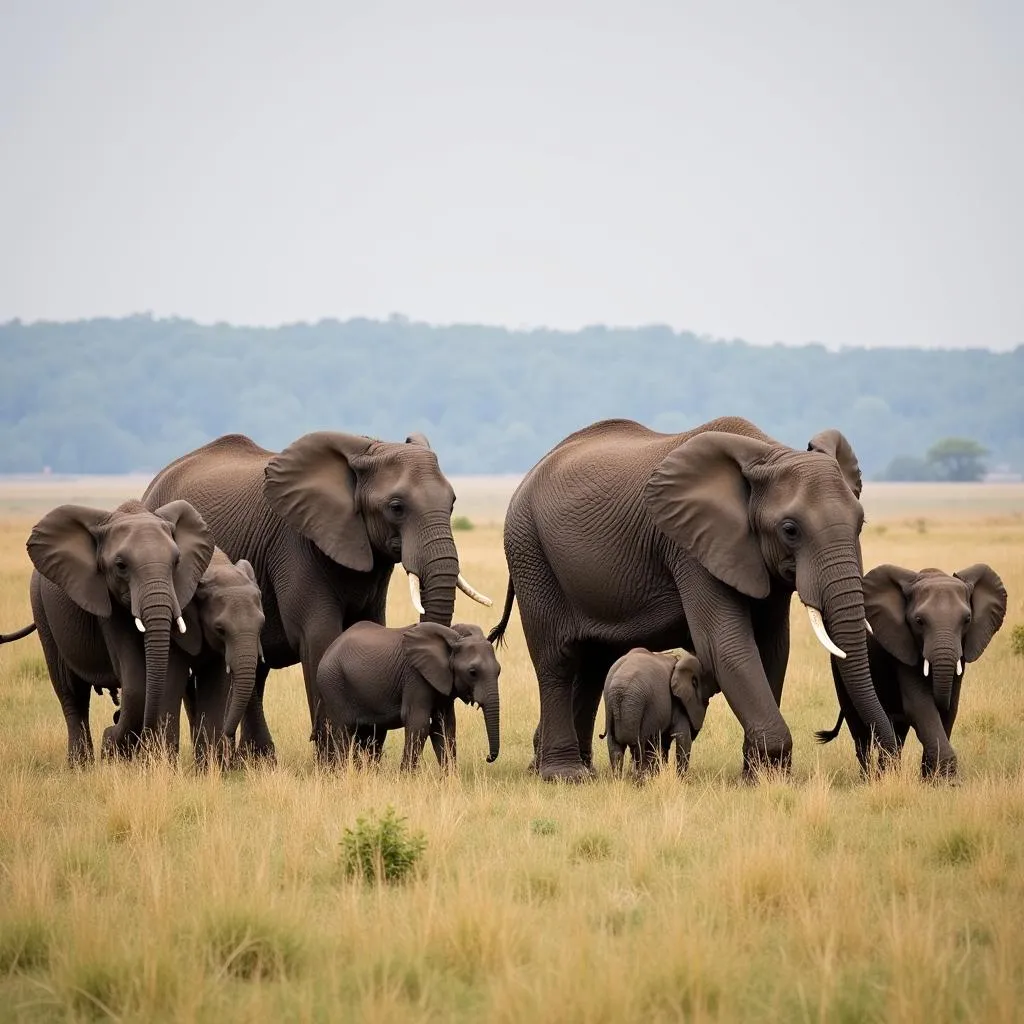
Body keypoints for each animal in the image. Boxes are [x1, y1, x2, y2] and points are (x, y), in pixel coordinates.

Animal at [0, 499, 214, 765]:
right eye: (121, 566)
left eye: (176, 562)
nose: (114, 719)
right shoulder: (105, 602)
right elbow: (136, 683)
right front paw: (112, 746)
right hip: (41, 608)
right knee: (71, 691)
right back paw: (79, 765)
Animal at [313, 618, 501, 770]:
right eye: (472, 672)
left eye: (499, 671)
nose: (488, 757)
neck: (453, 638)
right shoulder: (415, 676)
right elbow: (418, 723)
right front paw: (406, 777)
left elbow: (445, 727)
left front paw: (451, 779)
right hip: (333, 683)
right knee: (343, 731)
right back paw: (343, 772)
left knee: (367, 734)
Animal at [487, 411, 897, 778]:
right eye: (790, 529)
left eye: (861, 523)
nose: (886, 762)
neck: (768, 453)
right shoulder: (690, 548)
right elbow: (725, 645)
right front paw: (770, 774)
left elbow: (773, 647)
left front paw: (759, 776)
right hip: (530, 550)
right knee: (558, 660)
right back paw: (564, 775)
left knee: (592, 664)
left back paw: (571, 769)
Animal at [815, 565, 1007, 778]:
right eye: (919, 621)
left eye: (967, 620)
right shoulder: (901, 650)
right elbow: (920, 706)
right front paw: (944, 779)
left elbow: (950, 709)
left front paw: (932, 779)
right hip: (838, 667)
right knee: (860, 733)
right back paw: (870, 778)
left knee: (897, 732)